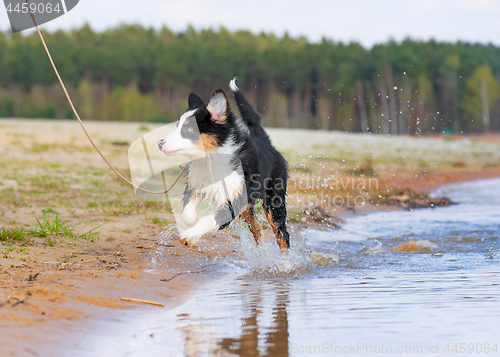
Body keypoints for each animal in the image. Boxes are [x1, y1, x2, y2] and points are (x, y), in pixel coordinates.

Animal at [156, 79, 290, 249]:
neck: (209, 159)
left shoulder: (234, 198)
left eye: (188, 129)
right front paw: (191, 224)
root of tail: (266, 142)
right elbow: (187, 212)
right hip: (248, 205)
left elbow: (210, 219)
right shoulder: (196, 183)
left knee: (282, 235)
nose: (160, 143)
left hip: (273, 201)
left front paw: (189, 236)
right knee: (257, 228)